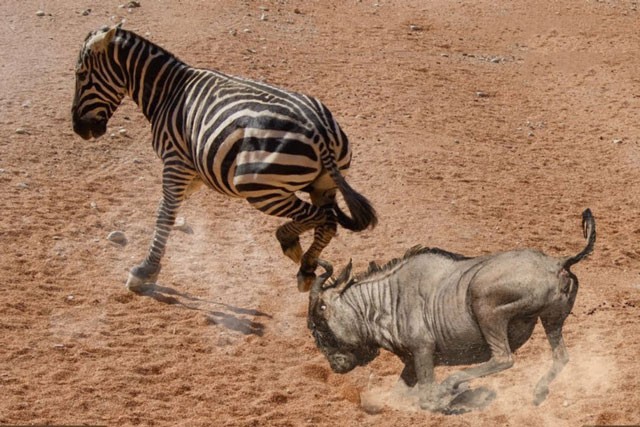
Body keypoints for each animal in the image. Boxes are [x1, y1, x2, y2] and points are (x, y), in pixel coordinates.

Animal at [72, 25, 378, 292]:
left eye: (80, 74)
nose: (79, 130)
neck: (165, 92)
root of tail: (318, 129)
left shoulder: (175, 163)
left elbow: (165, 215)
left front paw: (146, 271)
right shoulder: (194, 172)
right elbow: (169, 209)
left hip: (259, 188)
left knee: (325, 218)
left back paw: (288, 240)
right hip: (323, 185)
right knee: (327, 224)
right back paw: (305, 265)